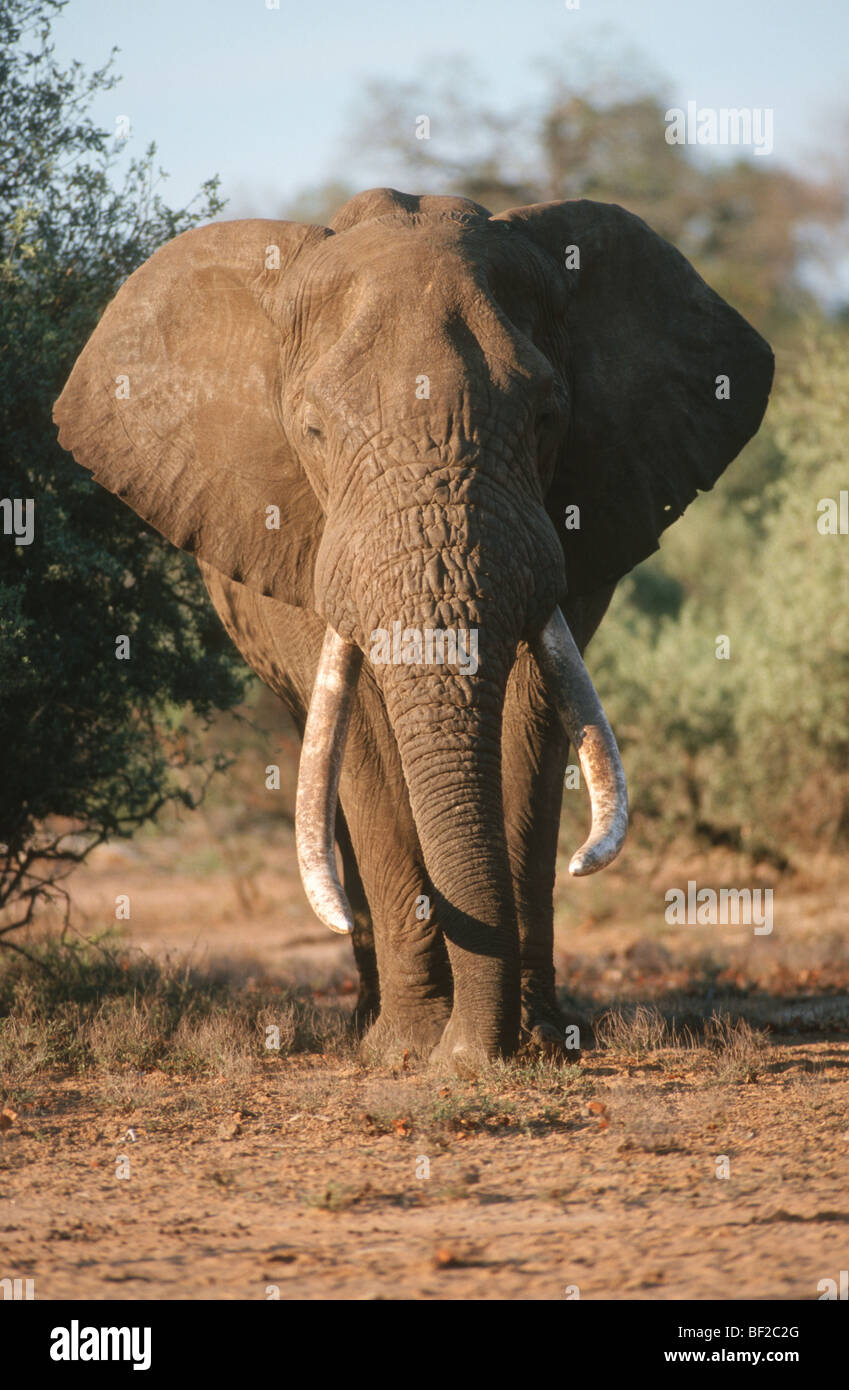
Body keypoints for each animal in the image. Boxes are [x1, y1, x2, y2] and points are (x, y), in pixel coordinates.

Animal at [49, 187, 772, 1061]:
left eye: (546, 417)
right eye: (314, 431)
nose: (470, 1052)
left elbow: (532, 717)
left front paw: (531, 1041)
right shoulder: (296, 538)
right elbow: (360, 732)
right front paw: (408, 1050)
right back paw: (368, 1024)